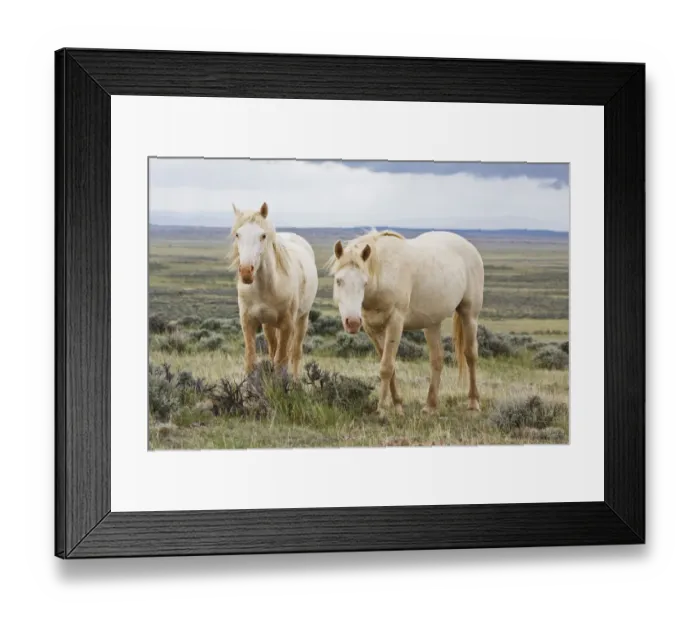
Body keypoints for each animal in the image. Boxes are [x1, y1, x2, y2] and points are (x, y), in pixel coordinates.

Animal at [228, 202, 319, 379]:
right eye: (237, 234)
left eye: (263, 236)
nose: (246, 272)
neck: (266, 289)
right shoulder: (248, 322)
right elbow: (251, 360)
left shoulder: (287, 324)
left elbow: (281, 360)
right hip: (268, 324)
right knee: (274, 348)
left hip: (302, 318)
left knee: (295, 352)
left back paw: (296, 379)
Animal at [325, 229, 484, 417]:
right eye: (338, 281)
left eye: (364, 283)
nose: (352, 322)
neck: (384, 274)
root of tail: (469, 246)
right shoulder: (372, 329)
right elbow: (390, 366)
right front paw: (398, 405)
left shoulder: (395, 323)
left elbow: (386, 366)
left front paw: (382, 409)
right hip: (432, 323)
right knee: (437, 359)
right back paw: (430, 406)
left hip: (469, 314)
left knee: (470, 355)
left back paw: (473, 403)